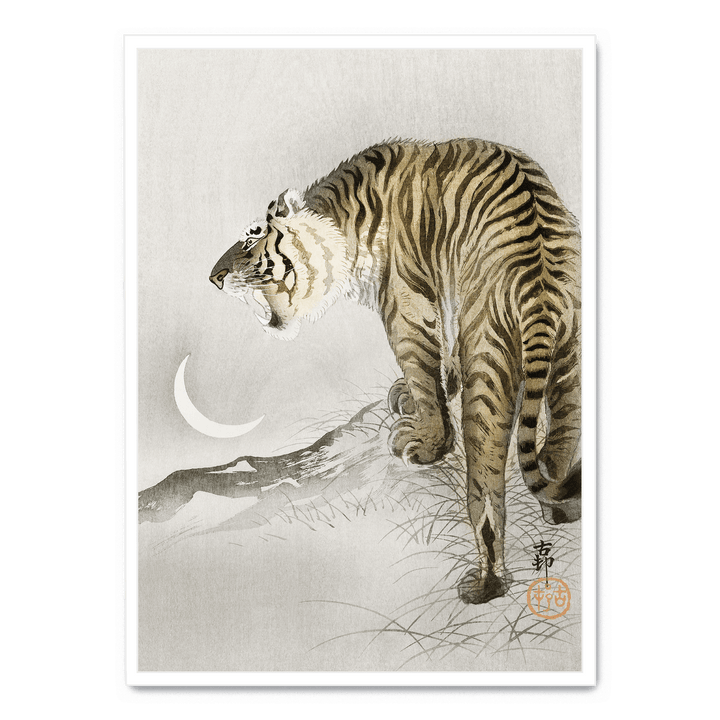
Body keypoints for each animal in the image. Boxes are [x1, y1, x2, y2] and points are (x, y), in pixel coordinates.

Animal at [210, 139, 581, 605]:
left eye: (251, 238)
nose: (214, 277)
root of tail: (540, 285)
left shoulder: (405, 303)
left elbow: (422, 368)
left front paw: (426, 441)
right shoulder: (444, 291)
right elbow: (442, 353)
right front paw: (424, 390)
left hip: (489, 359)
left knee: (486, 488)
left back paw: (486, 583)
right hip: (571, 357)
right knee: (561, 441)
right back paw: (563, 508)